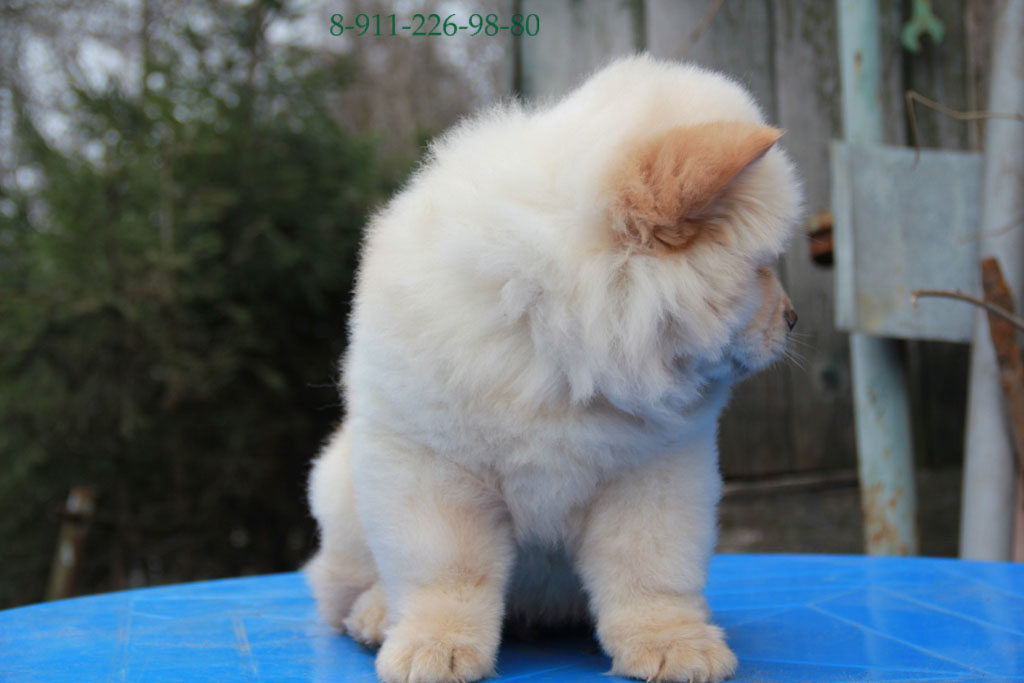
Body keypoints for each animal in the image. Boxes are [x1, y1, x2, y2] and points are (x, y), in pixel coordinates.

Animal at [306, 54, 801, 683]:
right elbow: (447, 574)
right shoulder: (434, 472)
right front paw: (435, 649)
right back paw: (374, 617)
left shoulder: (655, 474)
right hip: (340, 491)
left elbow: (651, 571)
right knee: (340, 587)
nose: (793, 317)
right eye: (761, 268)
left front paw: (672, 644)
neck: (565, 336)